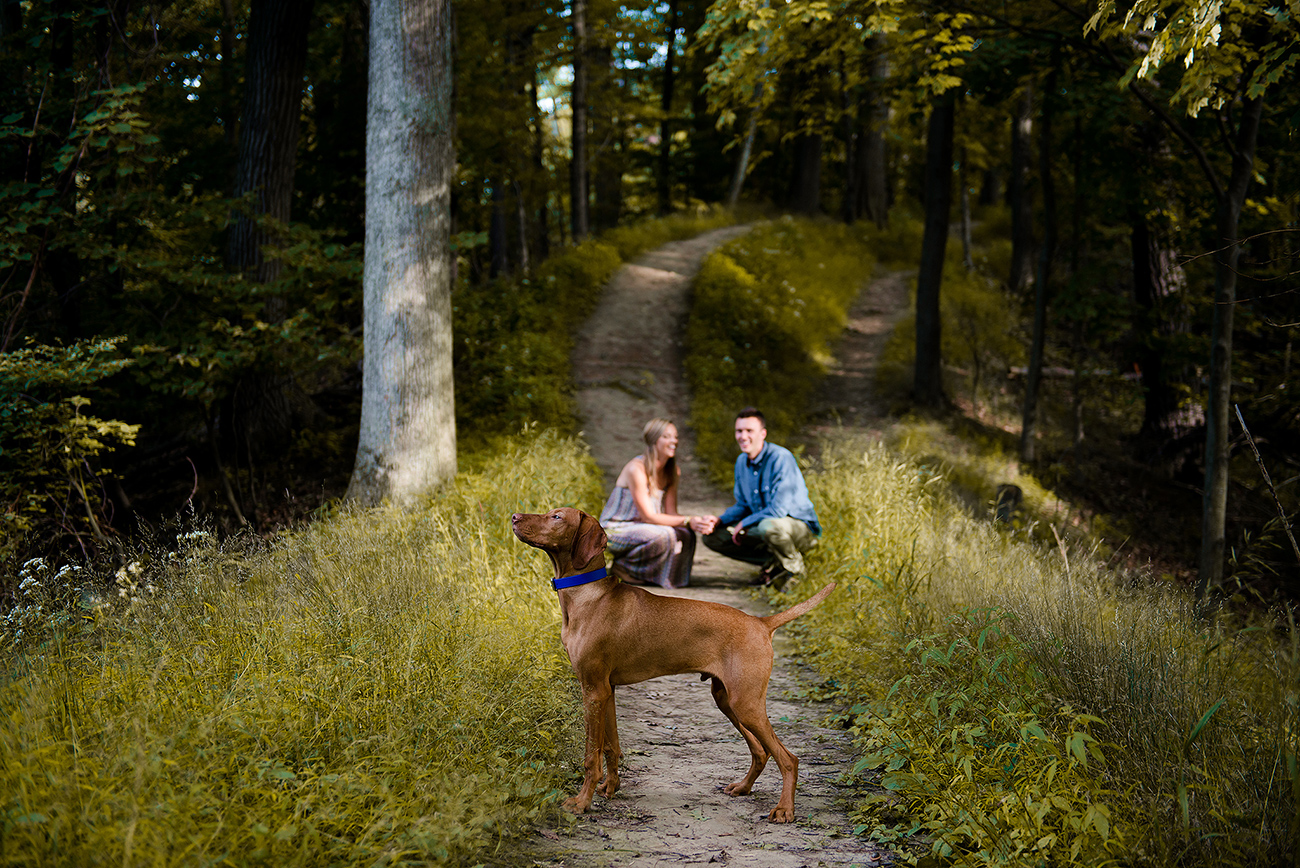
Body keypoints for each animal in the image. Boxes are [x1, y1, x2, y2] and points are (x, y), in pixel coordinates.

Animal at [506, 501, 832, 821]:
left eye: (557, 517)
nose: (514, 516)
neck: (588, 596)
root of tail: (762, 623)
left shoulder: (593, 690)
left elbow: (591, 755)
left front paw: (582, 802)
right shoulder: (607, 691)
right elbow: (612, 746)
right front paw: (610, 787)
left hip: (746, 703)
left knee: (788, 758)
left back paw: (784, 809)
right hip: (726, 699)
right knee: (761, 751)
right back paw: (743, 787)